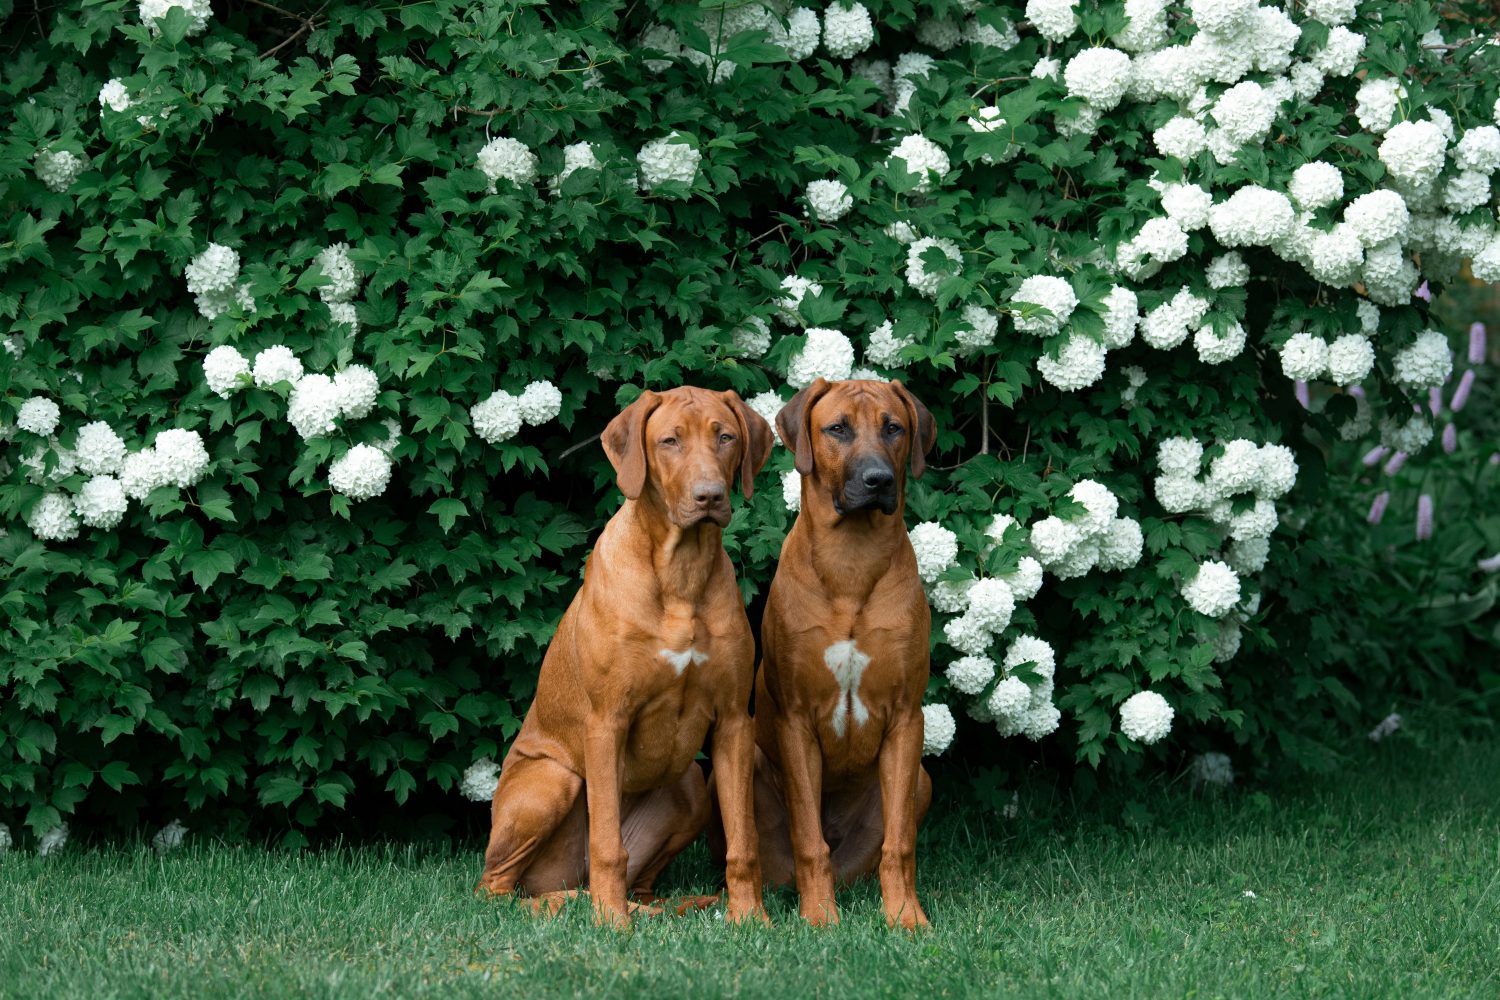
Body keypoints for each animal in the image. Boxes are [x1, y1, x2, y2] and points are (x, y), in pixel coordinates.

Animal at [477, 386, 774, 929]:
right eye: (669, 441)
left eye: (725, 437)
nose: (709, 496)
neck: (680, 573)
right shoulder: (605, 722)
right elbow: (608, 844)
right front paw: (611, 922)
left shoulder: (733, 722)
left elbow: (744, 841)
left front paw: (751, 918)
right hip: (554, 780)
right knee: (497, 889)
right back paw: (576, 903)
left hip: (691, 786)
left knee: (641, 880)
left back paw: (665, 907)